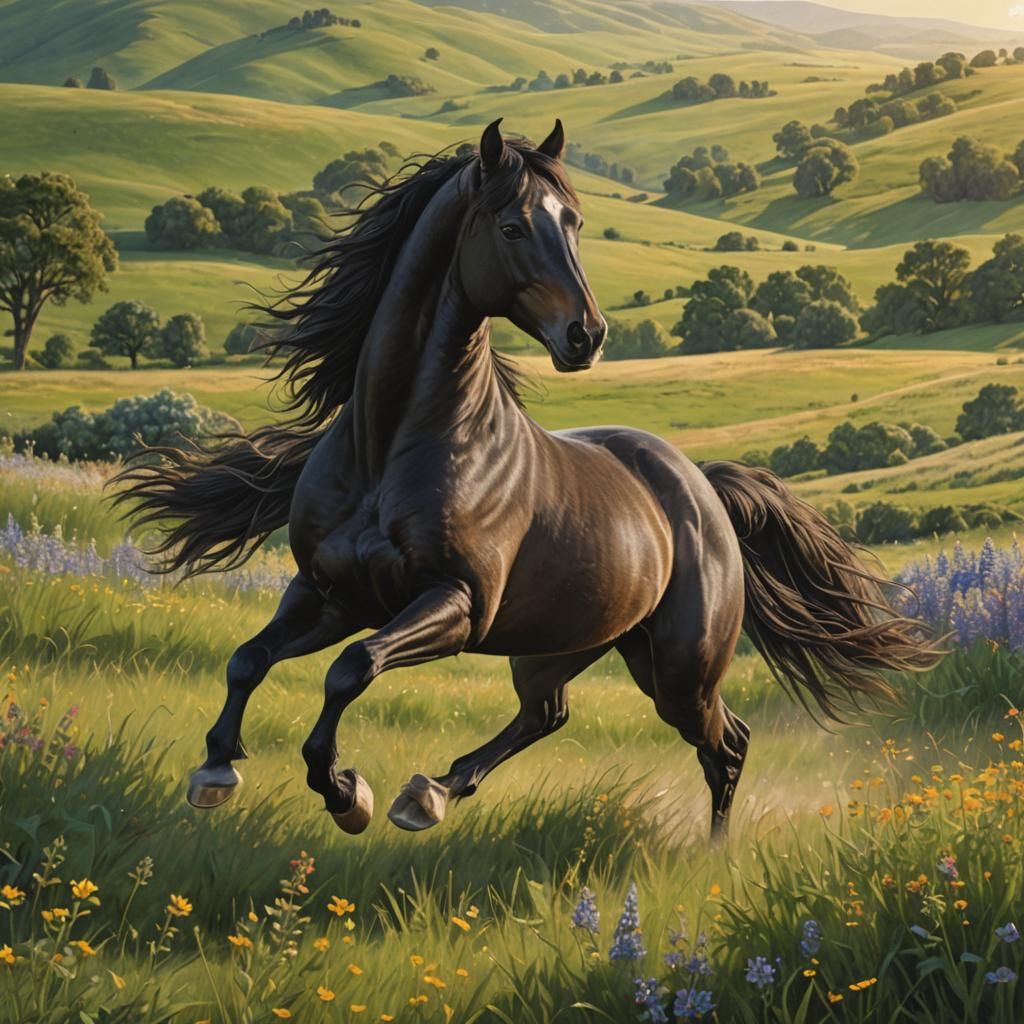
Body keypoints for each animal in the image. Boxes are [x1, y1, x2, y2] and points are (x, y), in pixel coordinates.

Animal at [115, 119, 941, 842]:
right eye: (513, 228)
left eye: (573, 222)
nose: (588, 335)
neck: (391, 451)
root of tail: (702, 489)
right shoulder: (331, 592)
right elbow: (250, 659)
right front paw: (216, 771)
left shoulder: (455, 604)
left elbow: (351, 670)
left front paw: (346, 792)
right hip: (573, 643)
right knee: (550, 716)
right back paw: (430, 793)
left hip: (679, 669)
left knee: (725, 743)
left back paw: (708, 857)